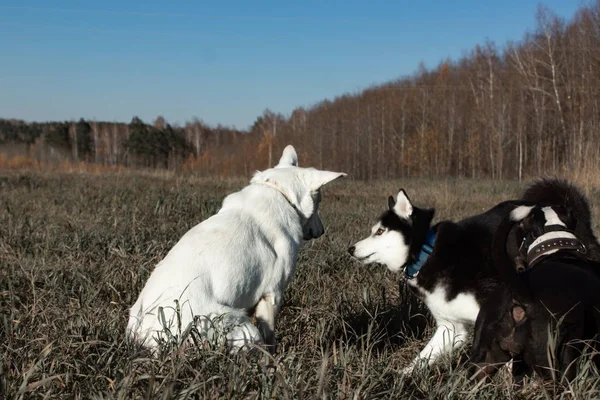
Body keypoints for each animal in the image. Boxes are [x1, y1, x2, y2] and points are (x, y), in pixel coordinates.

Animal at [125, 145, 346, 352]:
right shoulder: (272, 294)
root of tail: (143, 333)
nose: (322, 230)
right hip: (243, 328)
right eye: (320, 200)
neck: (278, 191)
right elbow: (270, 337)